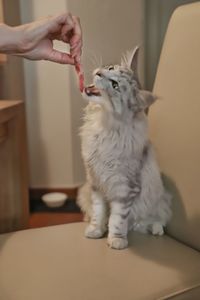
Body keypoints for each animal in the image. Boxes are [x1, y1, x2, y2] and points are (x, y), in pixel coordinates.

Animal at [77, 46, 171, 248]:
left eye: (114, 85)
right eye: (110, 68)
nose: (98, 72)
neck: (103, 124)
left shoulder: (124, 188)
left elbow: (118, 218)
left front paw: (117, 240)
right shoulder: (96, 183)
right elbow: (98, 212)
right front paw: (96, 230)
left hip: (160, 198)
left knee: (153, 219)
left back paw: (156, 229)